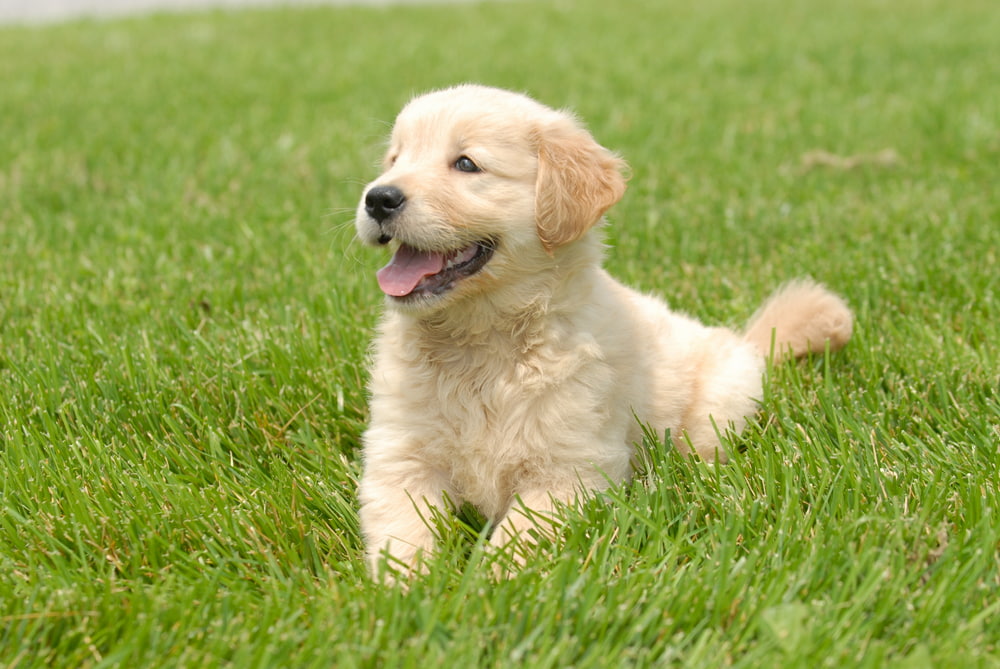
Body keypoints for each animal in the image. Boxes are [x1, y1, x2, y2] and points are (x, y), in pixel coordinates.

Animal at [352, 82, 852, 576]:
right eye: (395, 159)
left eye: (466, 164)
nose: (377, 198)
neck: (479, 343)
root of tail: (746, 343)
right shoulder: (399, 455)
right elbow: (401, 532)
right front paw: (407, 587)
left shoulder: (569, 469)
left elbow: (516, 540)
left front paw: (486, 584)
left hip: (717, 409)